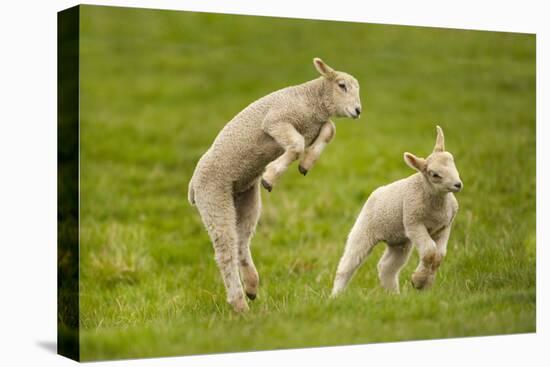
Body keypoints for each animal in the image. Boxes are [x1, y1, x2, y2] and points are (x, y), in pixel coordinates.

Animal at [188, 58, 364, 314]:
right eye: (342, 85)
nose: (358, 111)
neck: (310, 100)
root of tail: (192, 186)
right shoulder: (275, 121)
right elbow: (298, 144)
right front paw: (271, 175)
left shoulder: (314, 125)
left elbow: (330, 130)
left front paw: (306, 164)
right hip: (213, 195)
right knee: (225, 252)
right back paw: (239, 304)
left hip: (245, 196)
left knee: (241, 241)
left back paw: (251, 286)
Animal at [330, 125, 464, 298]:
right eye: (434, 174)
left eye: (453, 163)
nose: (458, 184)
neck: (437, 203)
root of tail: (376, 192)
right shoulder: (414, 223)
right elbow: (429, 251)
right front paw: (418, 280)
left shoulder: (444, 226)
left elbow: (438, 256)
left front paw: (424, 283)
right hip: (363, 229)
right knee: (347, 264)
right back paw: (336, 296)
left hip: (399, 241)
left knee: (387, 267)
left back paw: (394, 296)